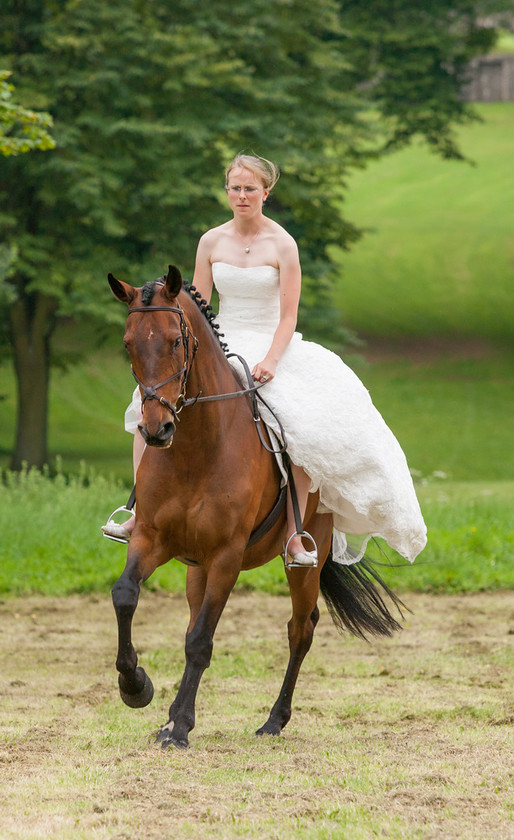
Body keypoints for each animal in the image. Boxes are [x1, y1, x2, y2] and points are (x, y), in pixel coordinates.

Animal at [109, 264, 404, 748]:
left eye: (174, 341)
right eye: (129, 343)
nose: (155, 430)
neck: (195, 447)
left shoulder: (226, 555)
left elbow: (201, 641)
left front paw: (181, 727)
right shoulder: (152, 538)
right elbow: (126, 596)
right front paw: (137, 688)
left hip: (305, 556)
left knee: (300, 629)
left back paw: (273, 721)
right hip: (196, 567)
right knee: (195, 620)